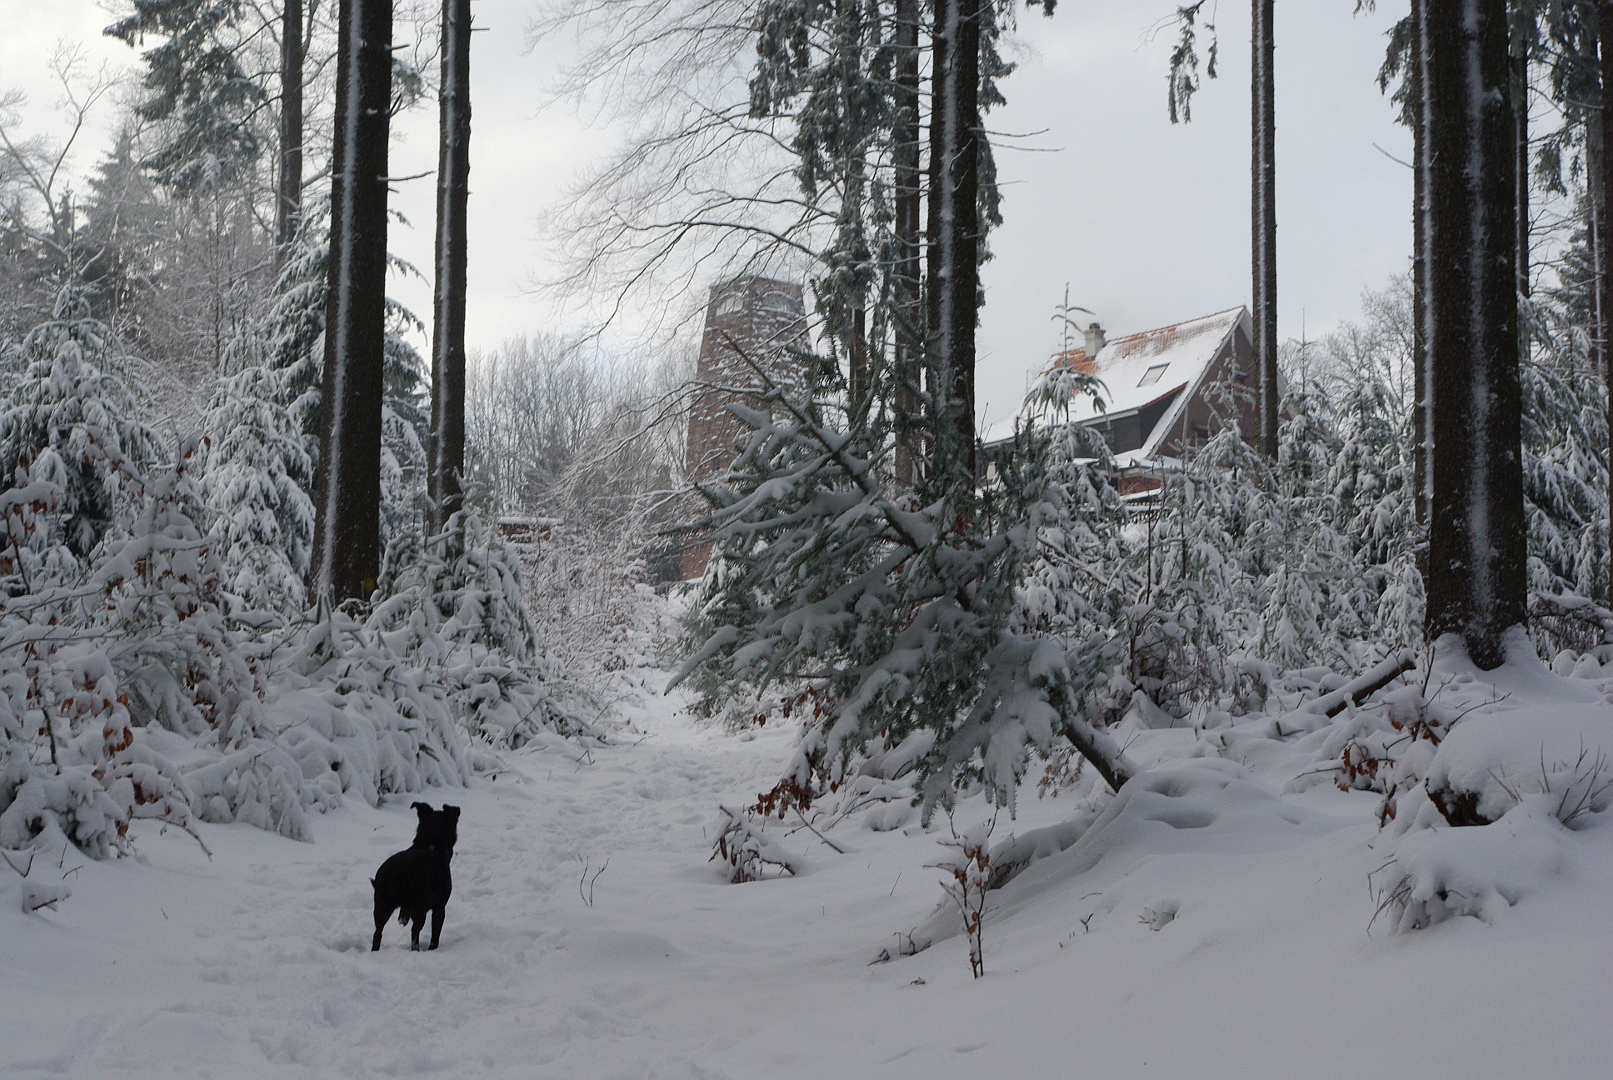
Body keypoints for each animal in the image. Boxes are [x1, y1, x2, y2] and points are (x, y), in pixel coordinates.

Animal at [372, 799, 461, 954]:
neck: (431, 844)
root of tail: (396, 873)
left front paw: (402, 919)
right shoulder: (439, 906)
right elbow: (435, 932)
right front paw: (433, 949)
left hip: (381, 906)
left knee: (378, 932)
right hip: (419, 908)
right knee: (415, 932)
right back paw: (417, 950)